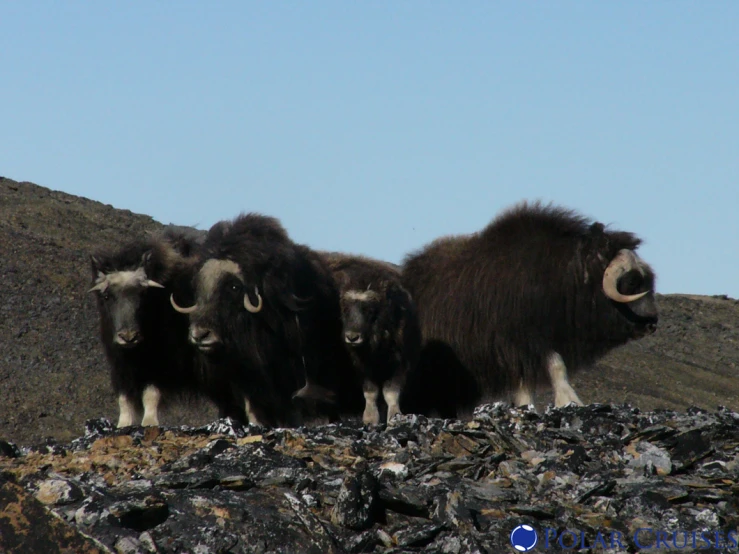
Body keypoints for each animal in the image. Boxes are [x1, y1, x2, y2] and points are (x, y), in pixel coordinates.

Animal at [89, 226, 236, 424]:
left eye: (143, 294)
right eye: (106, 296)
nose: (128, 337)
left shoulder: (160, 366)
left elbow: (151, 396)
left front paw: (149, 423)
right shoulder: (121, 368)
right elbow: (124, 401)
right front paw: (123, 424)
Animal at [308, 252, 420, 424]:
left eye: (370, 310)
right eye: (345, 309)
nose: (352, 337)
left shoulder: (400, 362)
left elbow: (391, 392)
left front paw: (394, 416)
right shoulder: (361, 365)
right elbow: (370, 391)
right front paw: (370, 419)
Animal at [402, 201, 660, 416]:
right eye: (631, 282)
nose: (652, 323)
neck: (565, 276)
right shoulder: (522, 341)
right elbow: (555, 367)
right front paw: (569, 401)